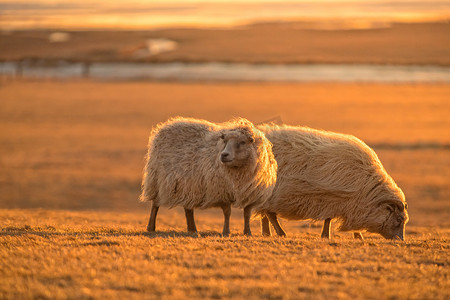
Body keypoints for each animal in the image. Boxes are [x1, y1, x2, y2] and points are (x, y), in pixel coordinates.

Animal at [140, 117, 278, 237]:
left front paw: (247, 232)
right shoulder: (223, 192)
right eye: (225, 141)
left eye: (242, 142)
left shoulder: (250, 194)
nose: (224, 155)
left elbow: (246, 214)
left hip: (188, 186)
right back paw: (151, 227)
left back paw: (192, 229)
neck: (238, 172)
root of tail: (164, 126)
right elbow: (227, 213)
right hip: (157, 181)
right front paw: (226, 232)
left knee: (188, 208)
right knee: (155, 204)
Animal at [256, 125, 408, 240]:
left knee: (266, 214)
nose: (400, 240)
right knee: (270, 215)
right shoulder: (334, 201)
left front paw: (357, 236)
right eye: (399, 219)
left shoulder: (350, 205)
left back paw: (267, 233)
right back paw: (280, 233)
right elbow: (328, 219)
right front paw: (327, 235)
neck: (367, 188)